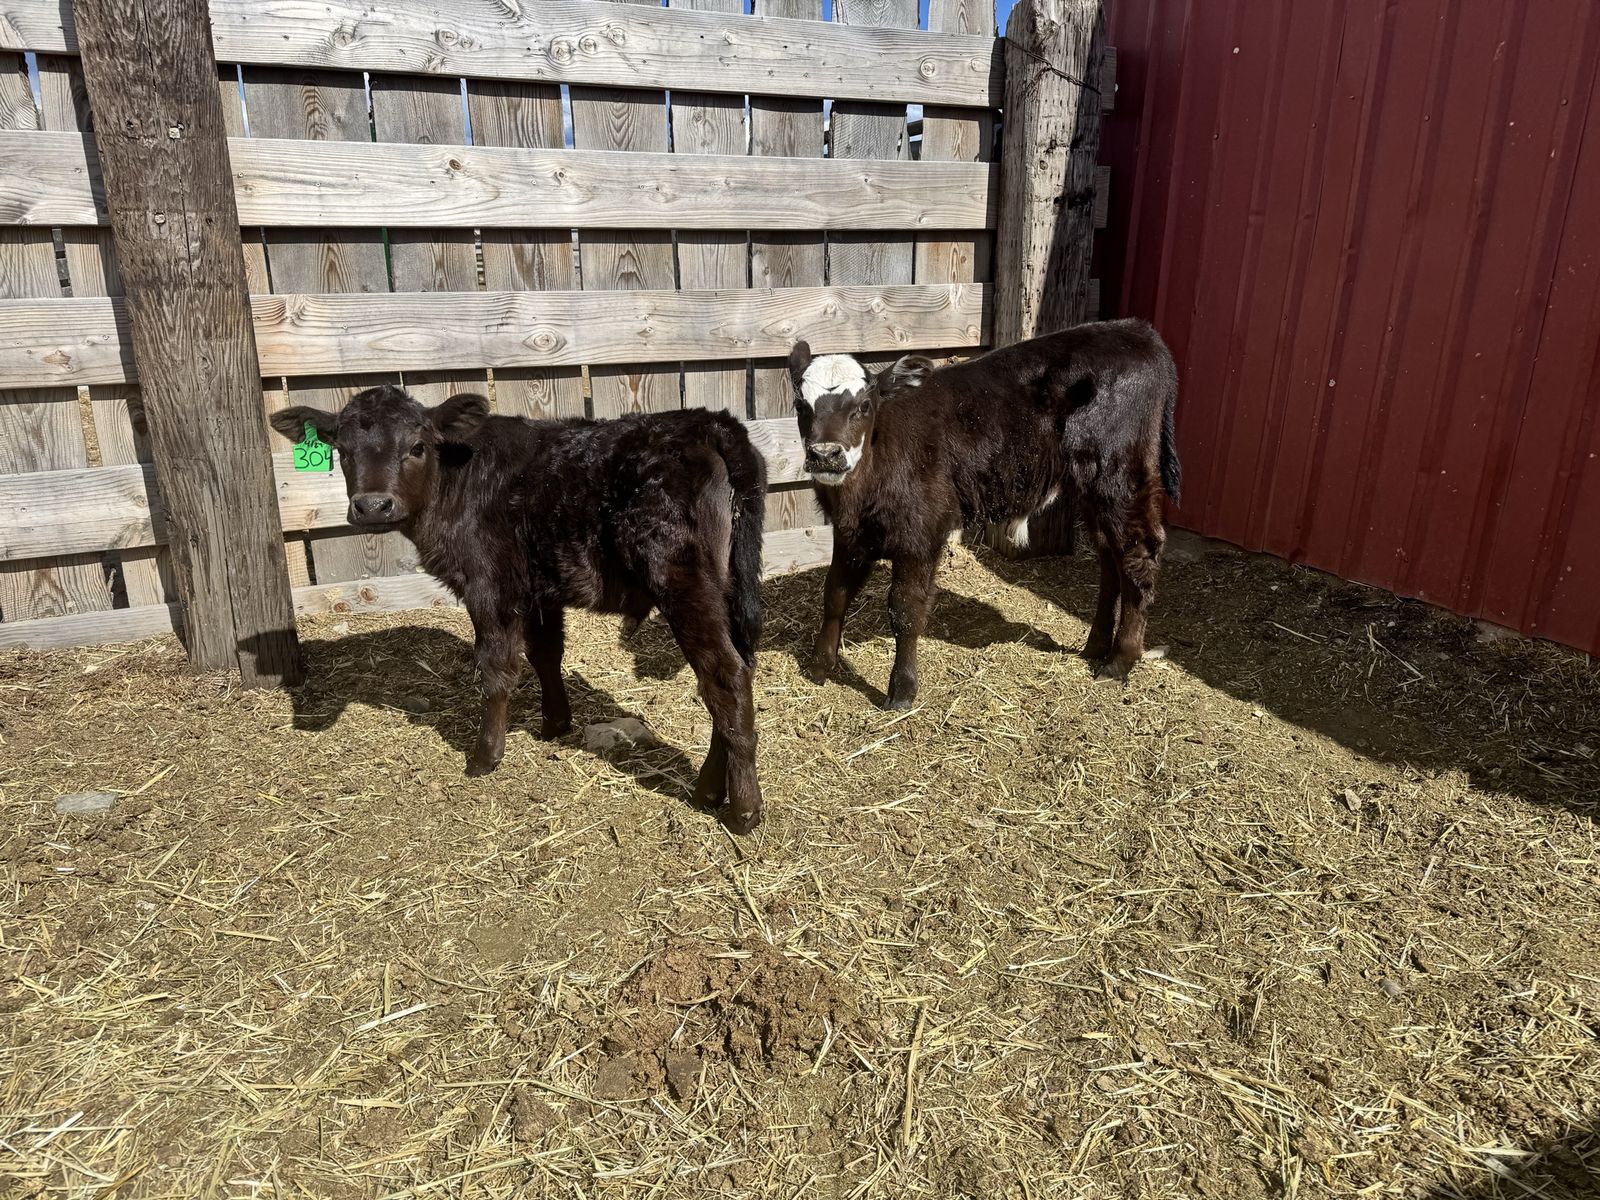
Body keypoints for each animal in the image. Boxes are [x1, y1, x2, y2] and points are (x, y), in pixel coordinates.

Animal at [269, 385, 769, 833]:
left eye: (417, 446)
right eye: (342, 451)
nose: (372, 506)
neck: (456, 479)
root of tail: (710, 423)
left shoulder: (490, 585)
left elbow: (496, 669)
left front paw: (485, 756)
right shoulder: (540, 588)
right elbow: (546, 653)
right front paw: (555, 723)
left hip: (680, 577)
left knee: (724, 675)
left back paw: (743, 811)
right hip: (731, 584)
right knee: (737, 669)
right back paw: (709, 789)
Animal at [789, 319, 1180, 709]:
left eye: (865, 405)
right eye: (800, 404)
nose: (825, 454)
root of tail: (1136, 331)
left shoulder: (920, 534)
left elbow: (905, 610)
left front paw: (901, 691)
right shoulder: (849, 533)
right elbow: (834, 594)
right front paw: (819, 666)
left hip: (1120, 477)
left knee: (1137, 555)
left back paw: (1119, 661)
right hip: (1091, 487)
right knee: (1110, 556)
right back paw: (1096, 647)